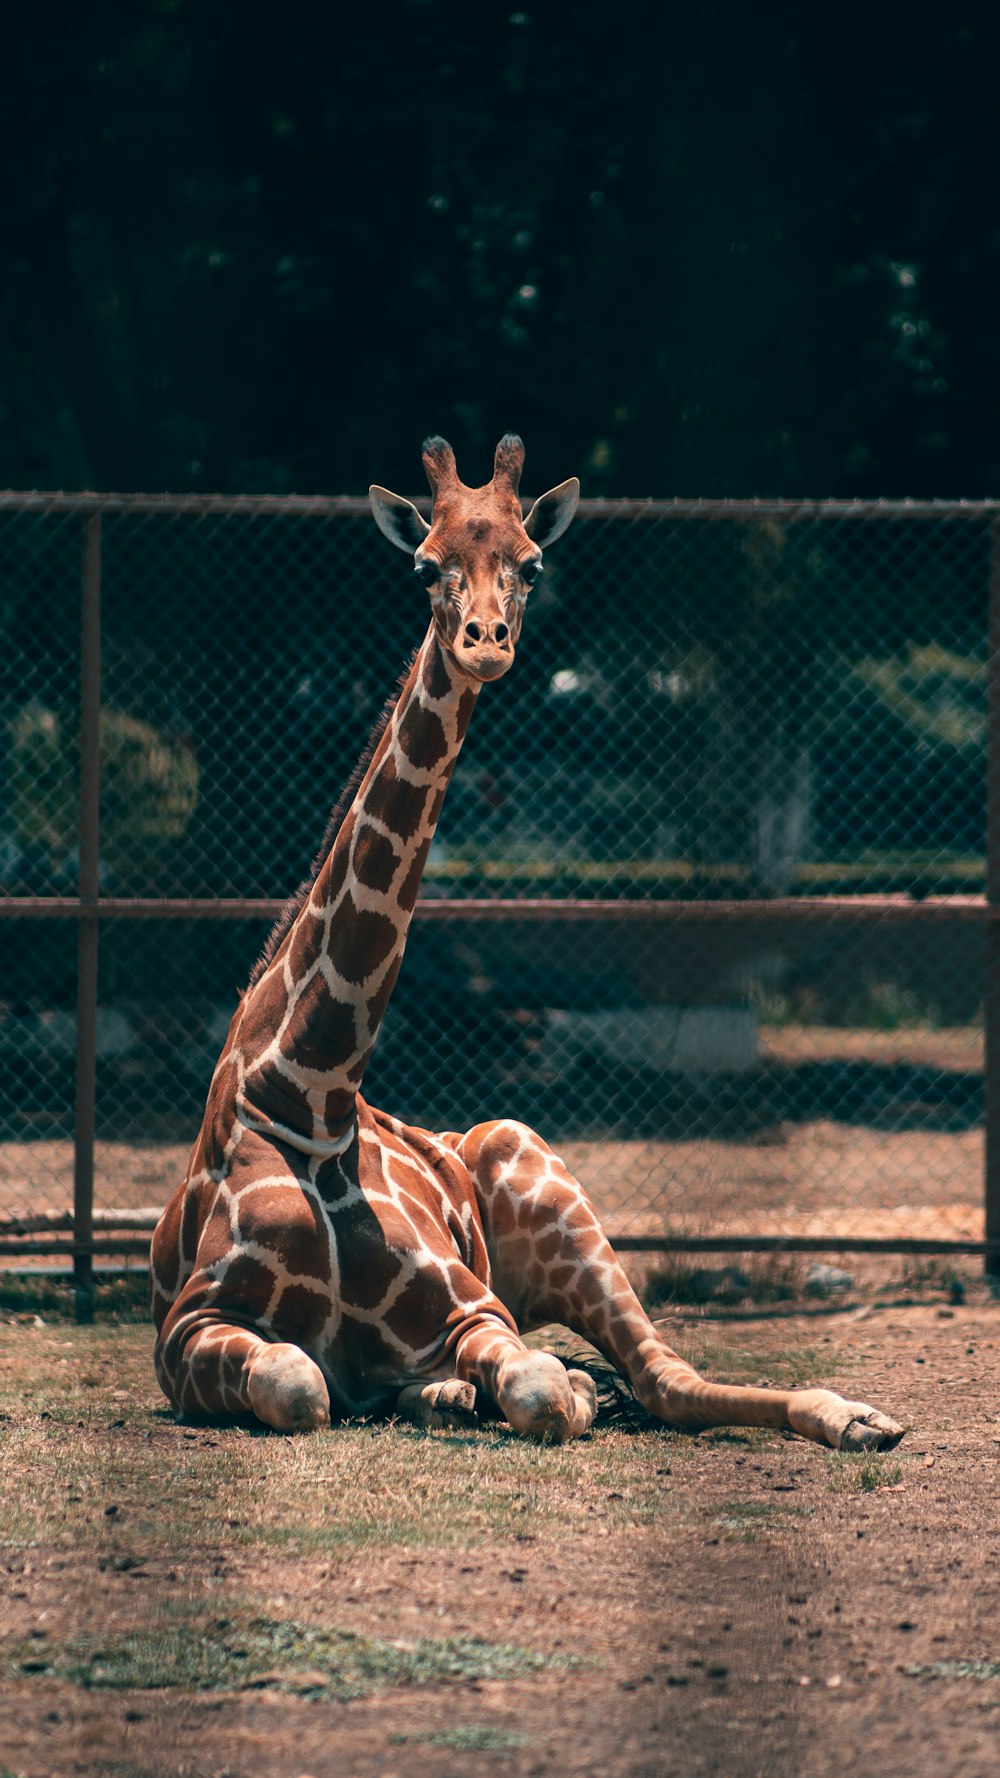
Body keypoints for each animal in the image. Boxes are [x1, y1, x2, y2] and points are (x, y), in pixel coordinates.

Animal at [149, 437, 903, 1450]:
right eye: (425, 566)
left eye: (533, 565)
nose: (486, 642)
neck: (312, 1088)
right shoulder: (188, 1326)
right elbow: (299, 1381)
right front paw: (438, 1390)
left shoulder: (479, 1309)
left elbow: (543, 1390)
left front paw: (548, 1391)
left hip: (545, 1178)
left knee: (665, 1378)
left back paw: (858, 1418)